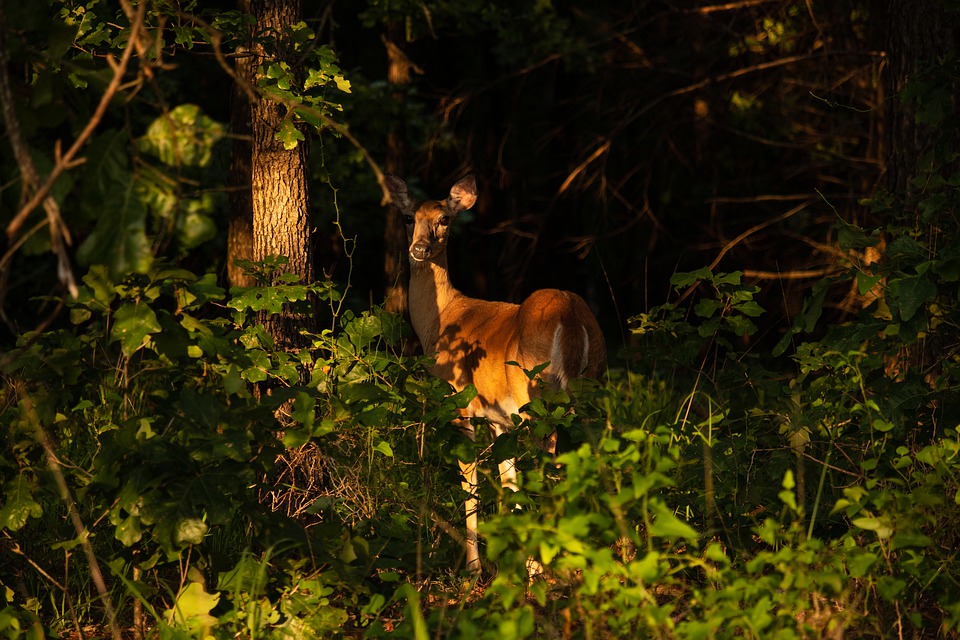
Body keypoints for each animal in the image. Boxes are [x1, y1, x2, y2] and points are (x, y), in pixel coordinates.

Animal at [384, 172, 604, 572]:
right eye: (409, 217)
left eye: (444, 219)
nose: (420, 248)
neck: (440, 320)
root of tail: (570, 316)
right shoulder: (501, 419)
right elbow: (509, 484)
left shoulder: (459, 402)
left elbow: (470, 483)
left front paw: (474, 568)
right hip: (589, 390)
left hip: (538, 396)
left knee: (550, 474)